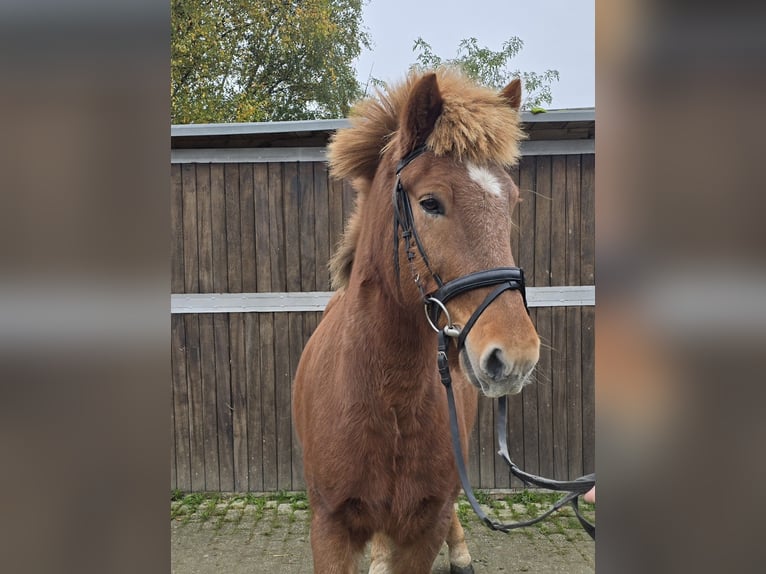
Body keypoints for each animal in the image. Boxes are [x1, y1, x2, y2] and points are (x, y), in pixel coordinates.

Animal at [292, 68, 540, 574]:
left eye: (511, 202)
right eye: (430, 202)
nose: (516, 356)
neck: (388, 398)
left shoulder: (425, 524)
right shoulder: (330, 528)